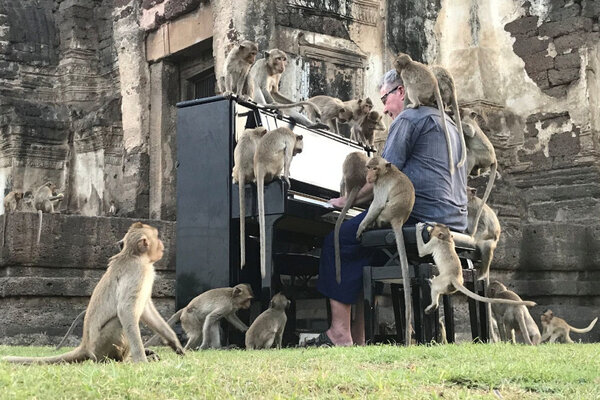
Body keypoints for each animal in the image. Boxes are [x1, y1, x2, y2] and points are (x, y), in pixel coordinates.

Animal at [3, 223, 184, 364]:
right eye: (157, 237)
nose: (162, 244)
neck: (134, 255)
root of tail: (85, 345)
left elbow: (146, 310)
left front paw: (174, 342)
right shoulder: (137, 272)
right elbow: (125, 310)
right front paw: (141, 360)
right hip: (102, 346)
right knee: (118, 322)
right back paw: (122, 360)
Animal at [254, 128, 304, 278]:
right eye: (299, 150)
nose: (297, 153)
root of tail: (260, 165)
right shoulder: (290, 141)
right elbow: (287, 159)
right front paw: (287, 178)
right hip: (274, 163)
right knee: (283, 156)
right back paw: (278, 177)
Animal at [354, 155, 414, 346]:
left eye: (374, 169)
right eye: (368, 167)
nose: (368, 176)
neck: (386, 171)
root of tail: (399, 218)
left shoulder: (379, 184)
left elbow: (377, 203)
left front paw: (360, 227)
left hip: (384, 215)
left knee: (379, 210)